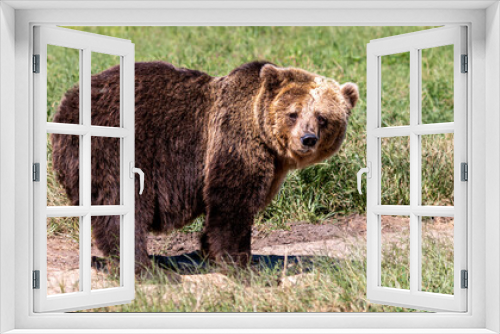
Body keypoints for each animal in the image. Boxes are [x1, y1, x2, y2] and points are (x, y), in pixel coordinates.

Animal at [50, 60, 358, 272]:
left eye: (322, 118)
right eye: (293, 114)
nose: (307, 139)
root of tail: (66, 104)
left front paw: (210, 252)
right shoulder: (232, 141)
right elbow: (231, 202)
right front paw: (240, 262)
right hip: (111, 146)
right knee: (121, 204)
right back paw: (144, 267)